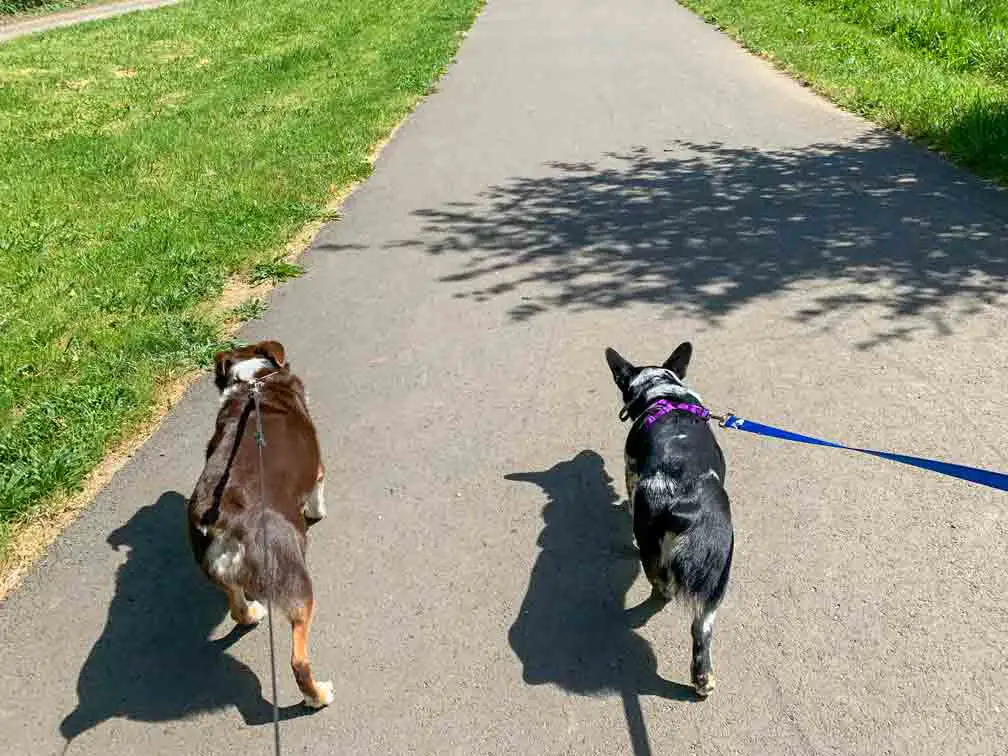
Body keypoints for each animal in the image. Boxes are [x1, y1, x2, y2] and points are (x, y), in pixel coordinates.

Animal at [187, 342, 332, 709]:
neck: (254, 380)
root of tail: (222, 523)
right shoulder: (319, 470)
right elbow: (318, 495)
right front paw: (318, 512)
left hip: (214, 570)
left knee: (236, 608)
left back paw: (252, 613)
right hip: (295, 580)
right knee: (297, 660)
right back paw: (318, 696)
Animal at [604, 342, 733, 697]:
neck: (661, 390)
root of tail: (682, 501)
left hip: (654, 545)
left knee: (662, 585)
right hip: (718, 572)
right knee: (701, 628)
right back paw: (703, 680)